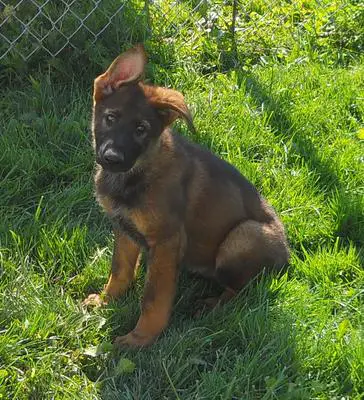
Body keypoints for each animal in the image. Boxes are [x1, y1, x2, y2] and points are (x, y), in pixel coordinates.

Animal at [83, 44, 290, 346]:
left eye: (141, 129)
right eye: (110, 118)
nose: (112, 158)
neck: (138, 170)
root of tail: (288, 258)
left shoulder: (167, 240)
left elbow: (153, 298)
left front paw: (140, 339)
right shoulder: (124, 228)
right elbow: (119, 270)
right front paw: (106, 302)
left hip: (243, 236)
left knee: (243, 290)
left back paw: (209, 306)